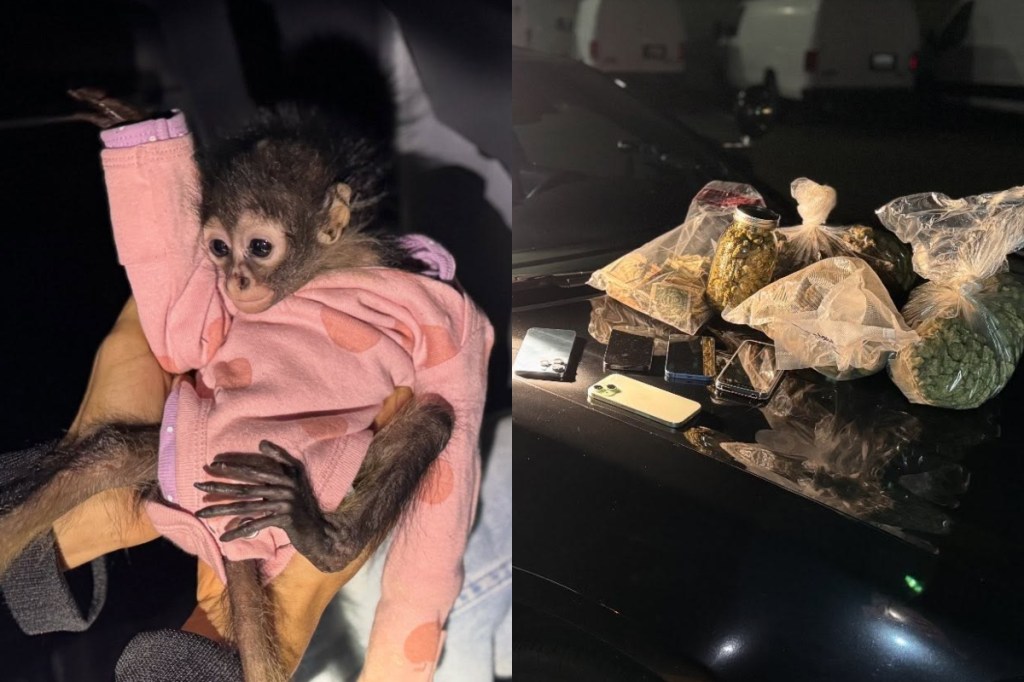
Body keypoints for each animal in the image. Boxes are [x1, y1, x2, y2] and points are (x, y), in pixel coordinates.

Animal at [0, 95, 493, 682]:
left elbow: (457, 395)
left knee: (438, 418)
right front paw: (127, 121)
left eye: (259, 247)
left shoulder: (445, 313)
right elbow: (180, 337)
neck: (321, 271)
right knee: (106, 453)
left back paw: (324, 540)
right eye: (217, 247)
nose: (236, 280)